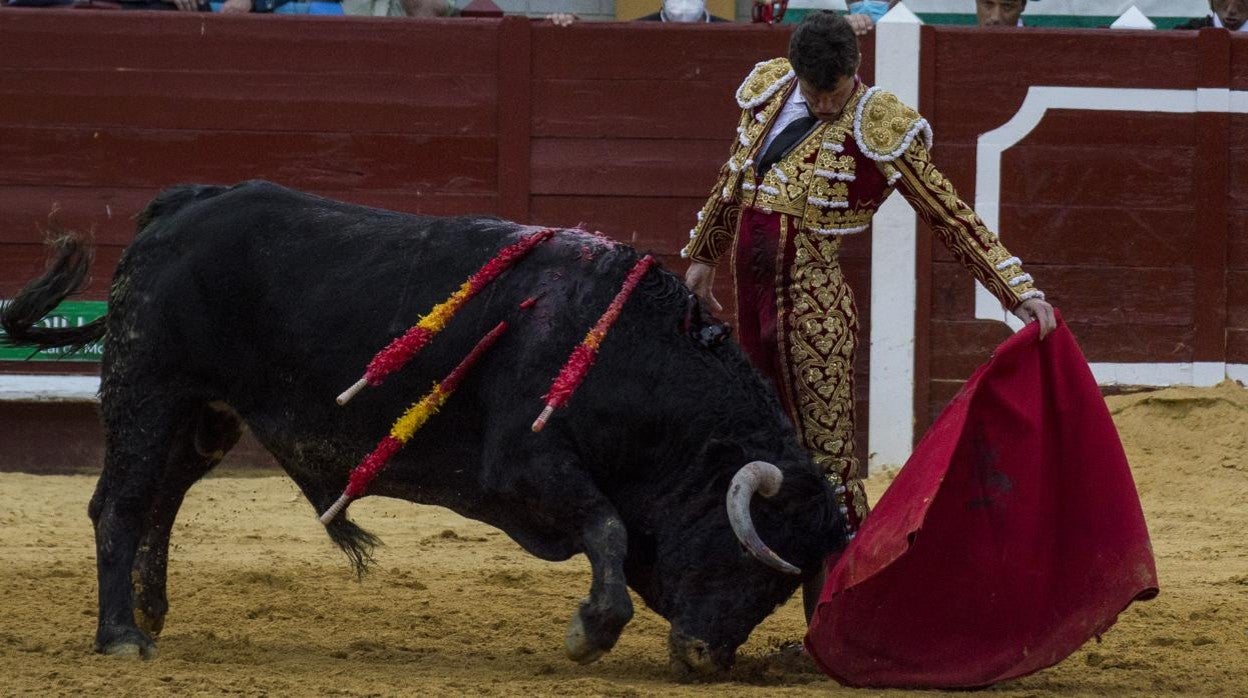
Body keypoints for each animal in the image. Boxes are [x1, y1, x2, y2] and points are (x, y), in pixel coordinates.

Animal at [2, 181, 848, 679]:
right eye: (756, 559)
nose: (708, 658)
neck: (626, 353)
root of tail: (180, 205)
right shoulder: (524, 464)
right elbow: (606, 526)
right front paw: (592, 631)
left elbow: (606, 527)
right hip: (147, 390)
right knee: (118, 504)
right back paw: (120, 635)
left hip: (203, 414)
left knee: (162, 499)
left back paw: (150, 612)